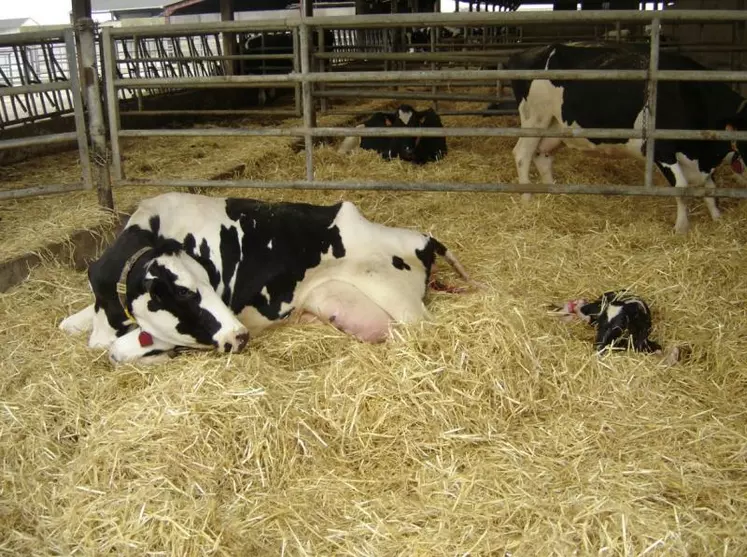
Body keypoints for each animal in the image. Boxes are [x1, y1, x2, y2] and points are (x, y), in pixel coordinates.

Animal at [61, 191, 476, 364]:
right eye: (183, 294)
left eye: (206, 284)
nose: (239, 336)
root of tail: (422, 238)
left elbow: (121, 350)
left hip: (403, 306)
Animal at [508, 41, 747, 232]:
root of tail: (532, 51)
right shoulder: (662, 150)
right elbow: (682, 189)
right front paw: (681, 227)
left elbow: (710, 188)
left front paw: (717, 218)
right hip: (535, 118)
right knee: (522, 154)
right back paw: (527, 198)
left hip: (555, 126)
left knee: (542, 156)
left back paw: (553, 192)